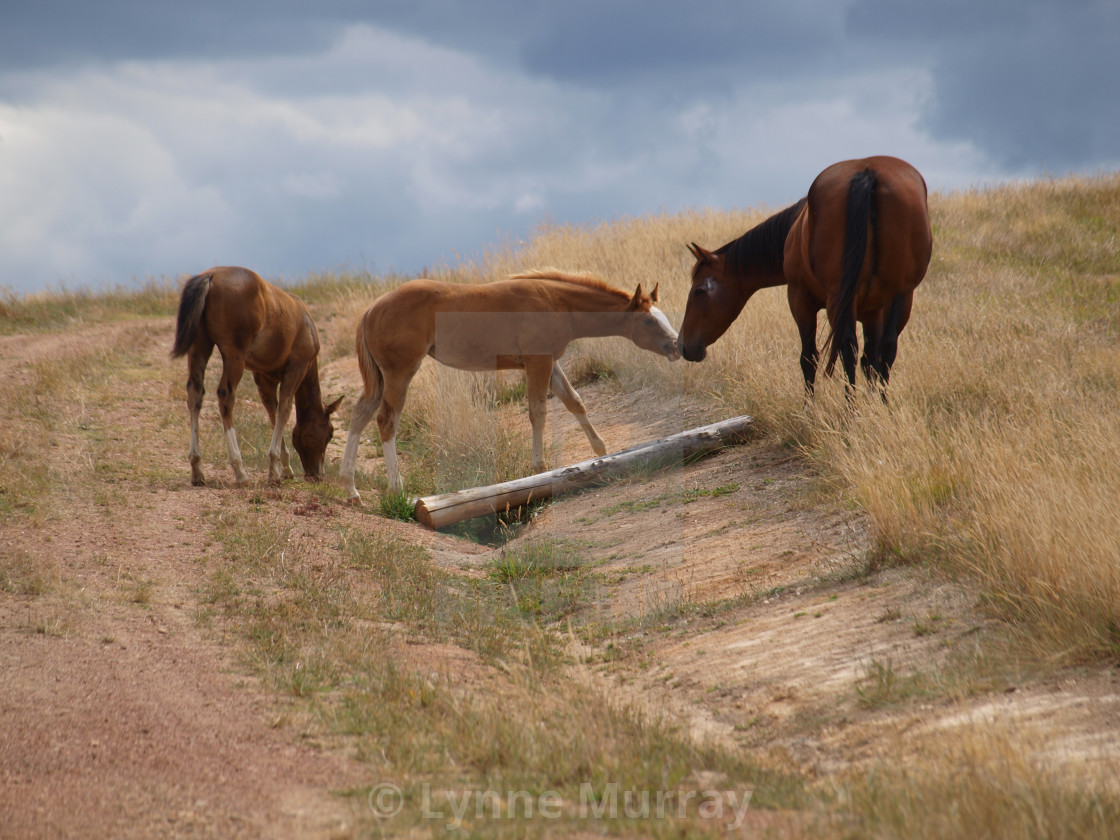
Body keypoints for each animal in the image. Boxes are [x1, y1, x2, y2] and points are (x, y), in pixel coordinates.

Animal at [170, 266, 340, 483]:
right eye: (330, 433)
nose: (317, 474)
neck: (305, 323)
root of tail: (211, 276)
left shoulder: (263, 378)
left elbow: (273, 413)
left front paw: (283, 468)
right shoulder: (297, 368)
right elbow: (284, 410)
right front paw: (274, 470)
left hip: (199, 347)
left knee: (195, 393)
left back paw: (197, 468)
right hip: (234, 356)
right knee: (225, 395)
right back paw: (240, 470)